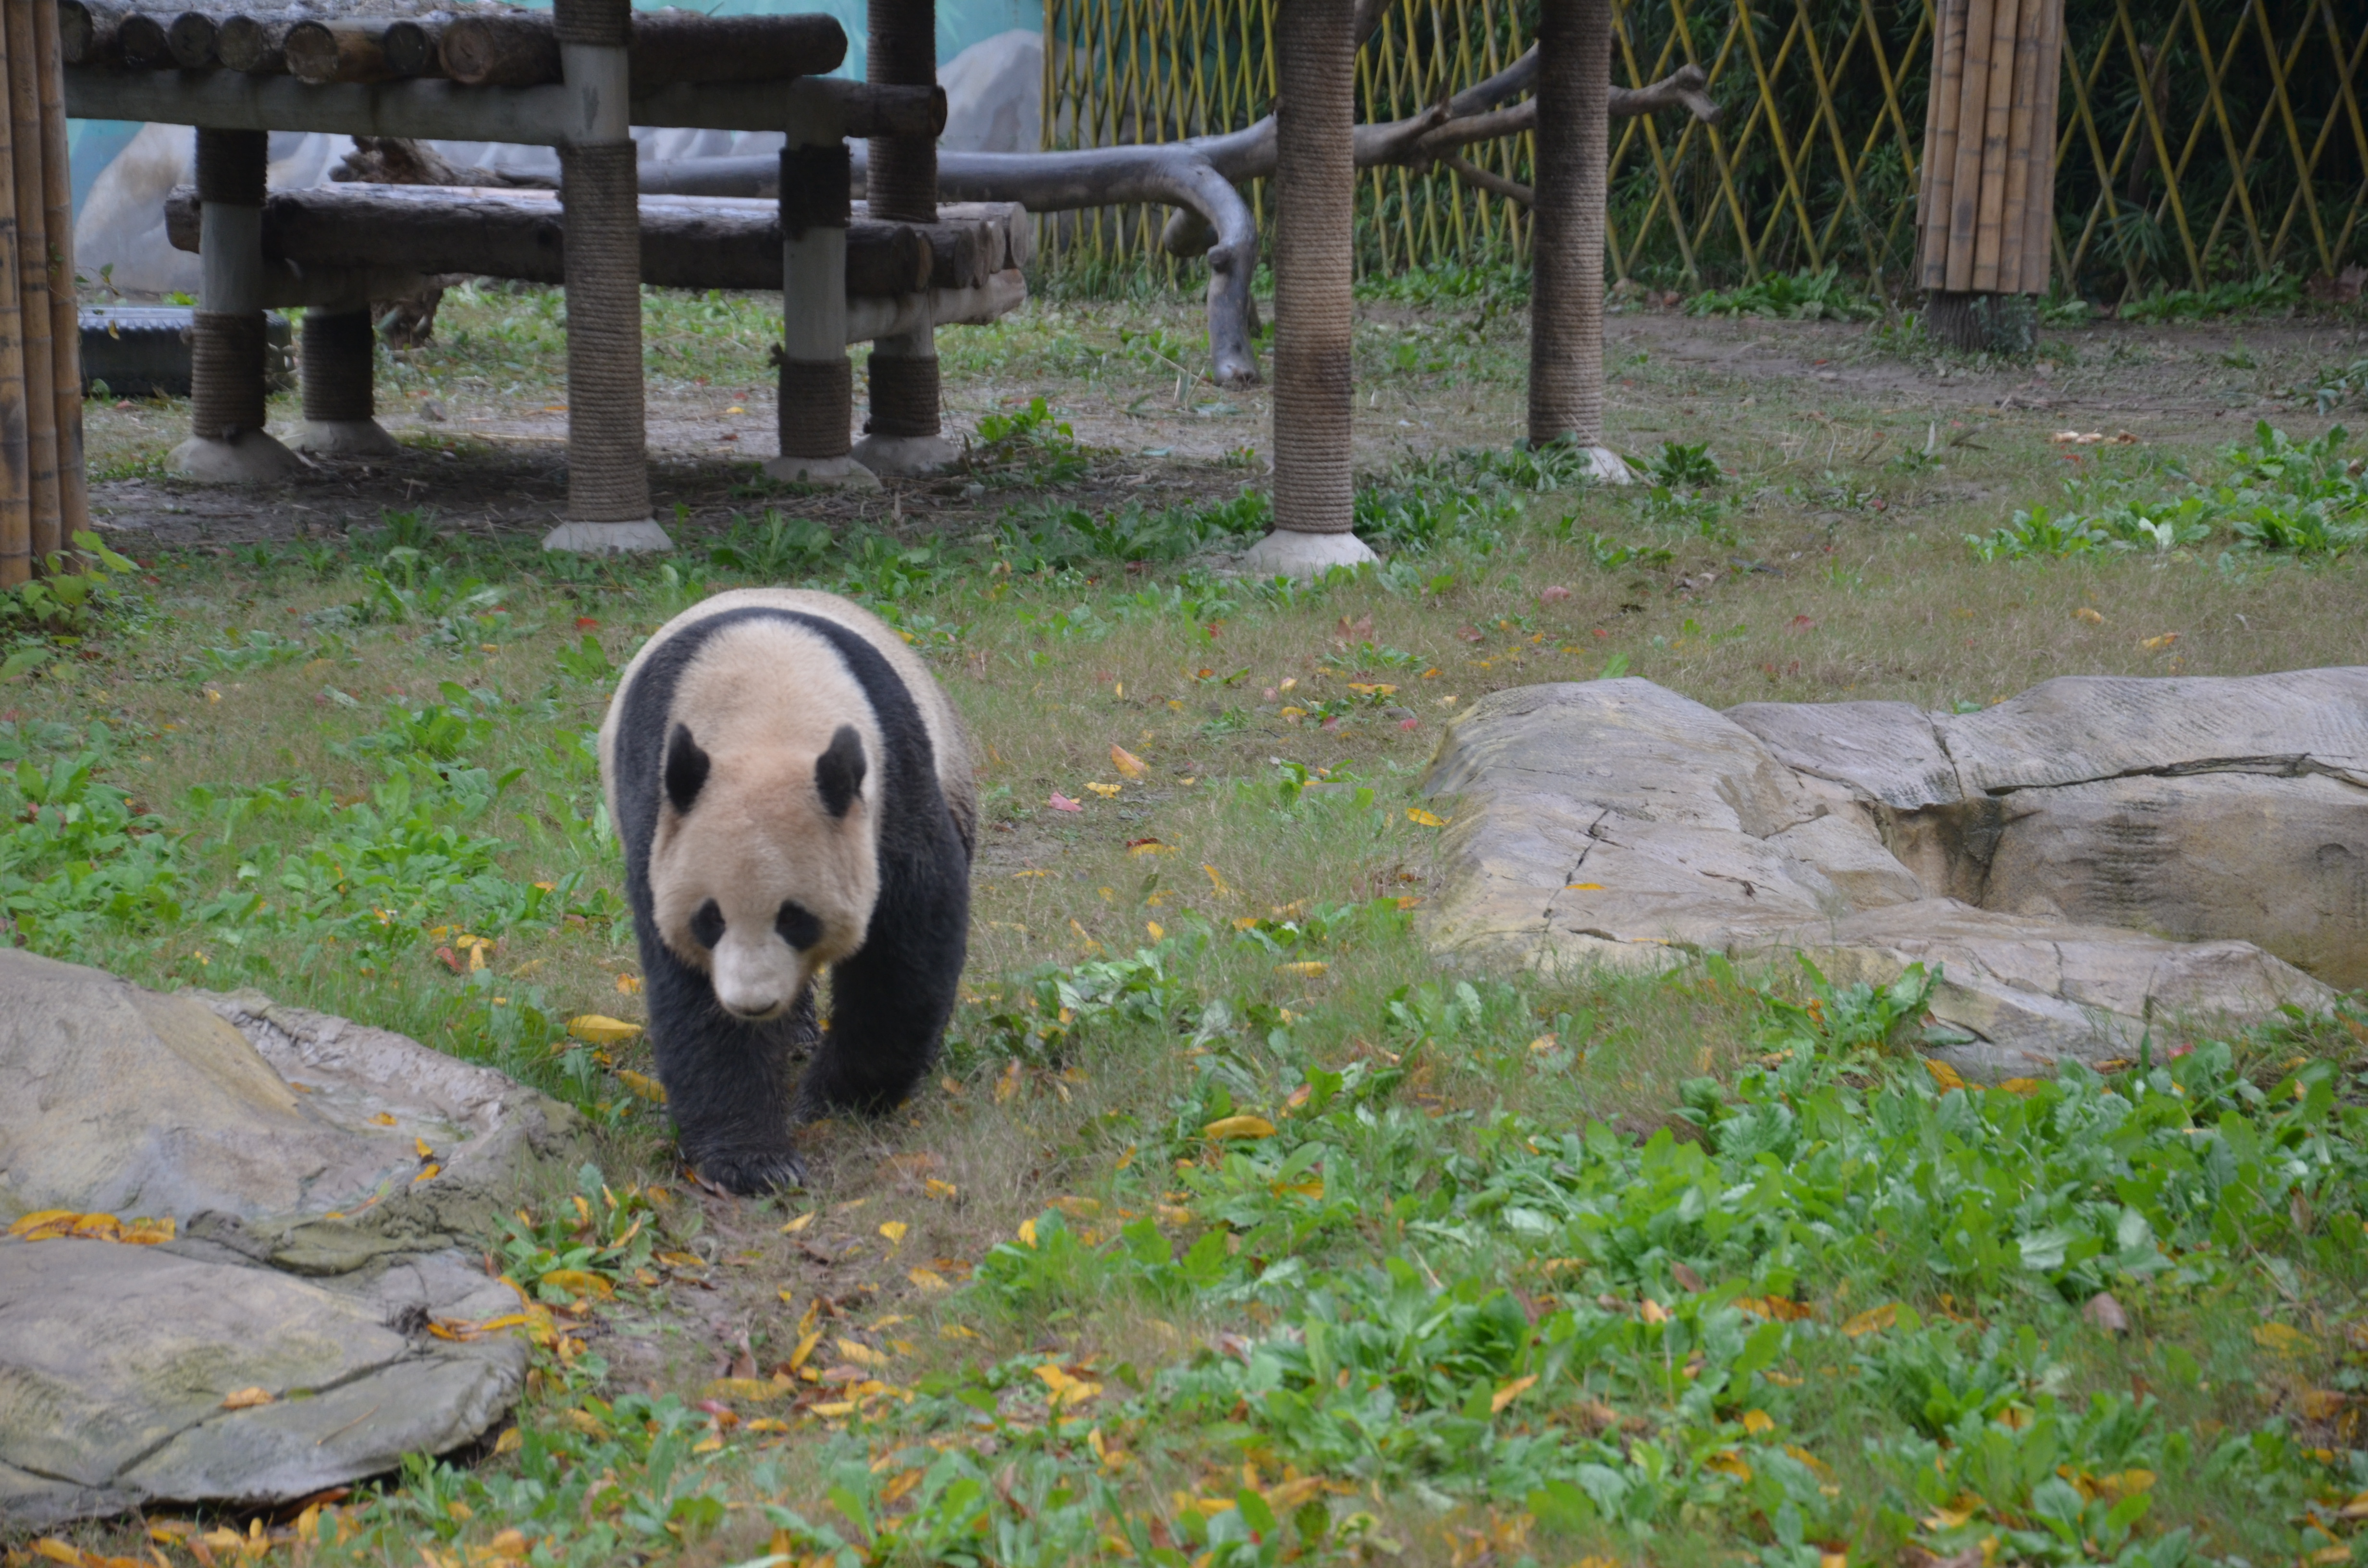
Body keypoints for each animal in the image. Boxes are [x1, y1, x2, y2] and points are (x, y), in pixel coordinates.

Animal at [596, 589, 975, 1193]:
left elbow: (908, 940)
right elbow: (690, 994)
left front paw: (839, 1099)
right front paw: (754, 1161)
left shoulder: (893, 778)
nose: (752, 1004)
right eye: (710, 919)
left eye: (795, 918)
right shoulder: (658, 810)